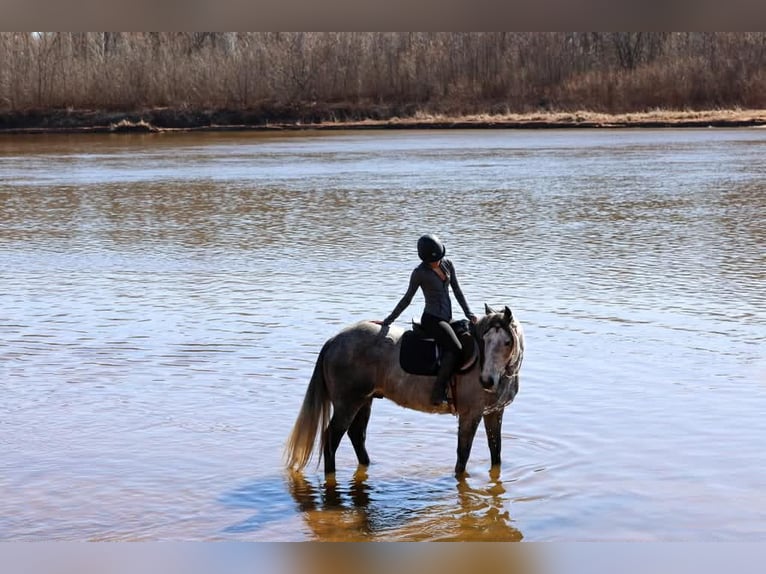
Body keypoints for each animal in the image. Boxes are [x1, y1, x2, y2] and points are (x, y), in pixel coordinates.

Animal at [285, 304, 525, 477]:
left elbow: (496, 451)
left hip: (364, 400)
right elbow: (462, 456)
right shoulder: (470, 415)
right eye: (484, 340)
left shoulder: (494, 412)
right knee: (331, 439)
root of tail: (334, 340)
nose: (487, 381)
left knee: (357, 435)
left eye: (506, 342)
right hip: (347, 404)